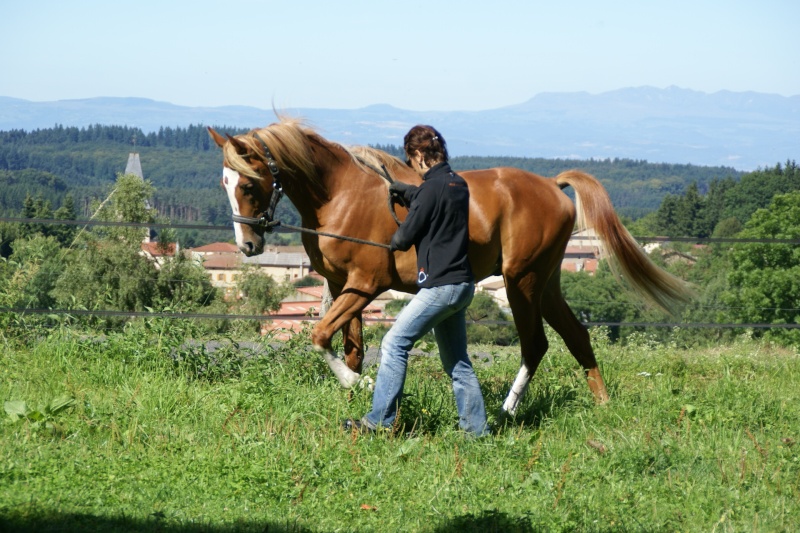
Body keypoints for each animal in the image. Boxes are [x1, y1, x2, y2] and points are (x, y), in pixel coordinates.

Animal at [209, 117, 692, 416]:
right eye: (224, 182)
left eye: (249, 183)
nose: (249, 244)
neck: (341, 195)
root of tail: (553, 185)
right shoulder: (344, 286)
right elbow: (351, 348)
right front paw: (355, 392)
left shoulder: (365, 285)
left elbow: (320, 336)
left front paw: (355, 385)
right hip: (547, 282)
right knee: (576, 335)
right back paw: (601, 402)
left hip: (520, 281)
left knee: (536, 344)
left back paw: (508, 410)